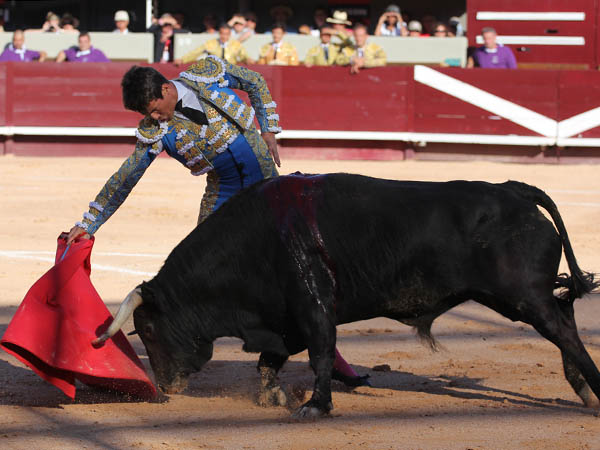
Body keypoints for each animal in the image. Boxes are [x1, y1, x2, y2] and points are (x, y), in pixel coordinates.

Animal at [98, 171, 600, 414]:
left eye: (147, 331)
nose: (166, 387)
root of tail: (513, 189)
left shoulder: (314, 306)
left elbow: (320, 352)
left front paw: (316, 407)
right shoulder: (283, 319)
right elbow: (269, 362)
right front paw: (274, 398)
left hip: (521, 296)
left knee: (564, 330)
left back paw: (593, 393)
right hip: (515, 298)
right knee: (566, 315)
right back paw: (583, 390)